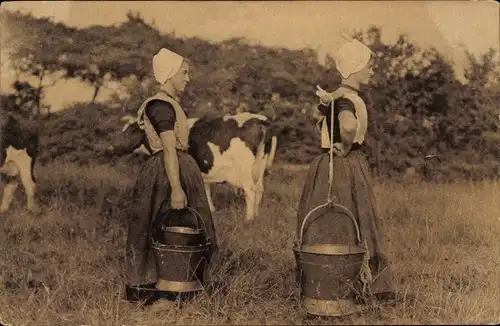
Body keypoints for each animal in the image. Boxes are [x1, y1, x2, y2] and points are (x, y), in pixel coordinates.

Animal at [108, 112, 278, 222]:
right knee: (260, 189)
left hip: (245, 169)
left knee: (250, 191)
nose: (114, 148)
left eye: (130, 131)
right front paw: (211, 210)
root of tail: (261, 120)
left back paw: (248, 219)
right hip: (260, 165)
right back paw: (256, 216)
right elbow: (206, 189)